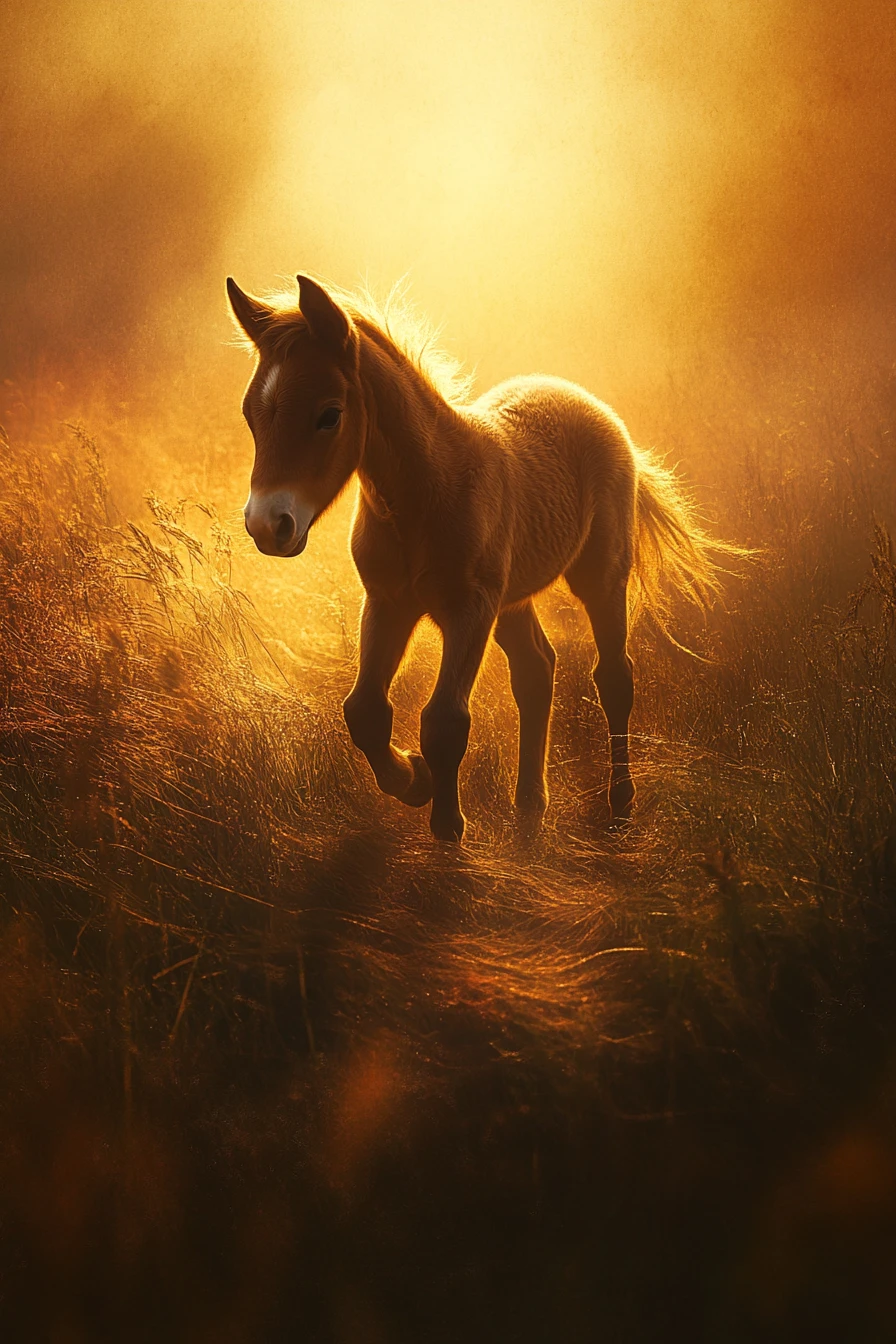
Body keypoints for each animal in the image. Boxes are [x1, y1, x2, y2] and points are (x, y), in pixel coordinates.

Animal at [227, 273, 738, 841]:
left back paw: (620, 803)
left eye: (329, 415)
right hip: (512, 600)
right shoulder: (388, 602)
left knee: (614, 677)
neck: (427, 494)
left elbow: (446, 720)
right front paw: (415, 781)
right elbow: (364, 712)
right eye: (251, 415)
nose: (267, 526)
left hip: (599, 579)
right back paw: (530, 802)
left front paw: (448, 824)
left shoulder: (469, 609)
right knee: (537, 670)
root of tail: (584, 399)